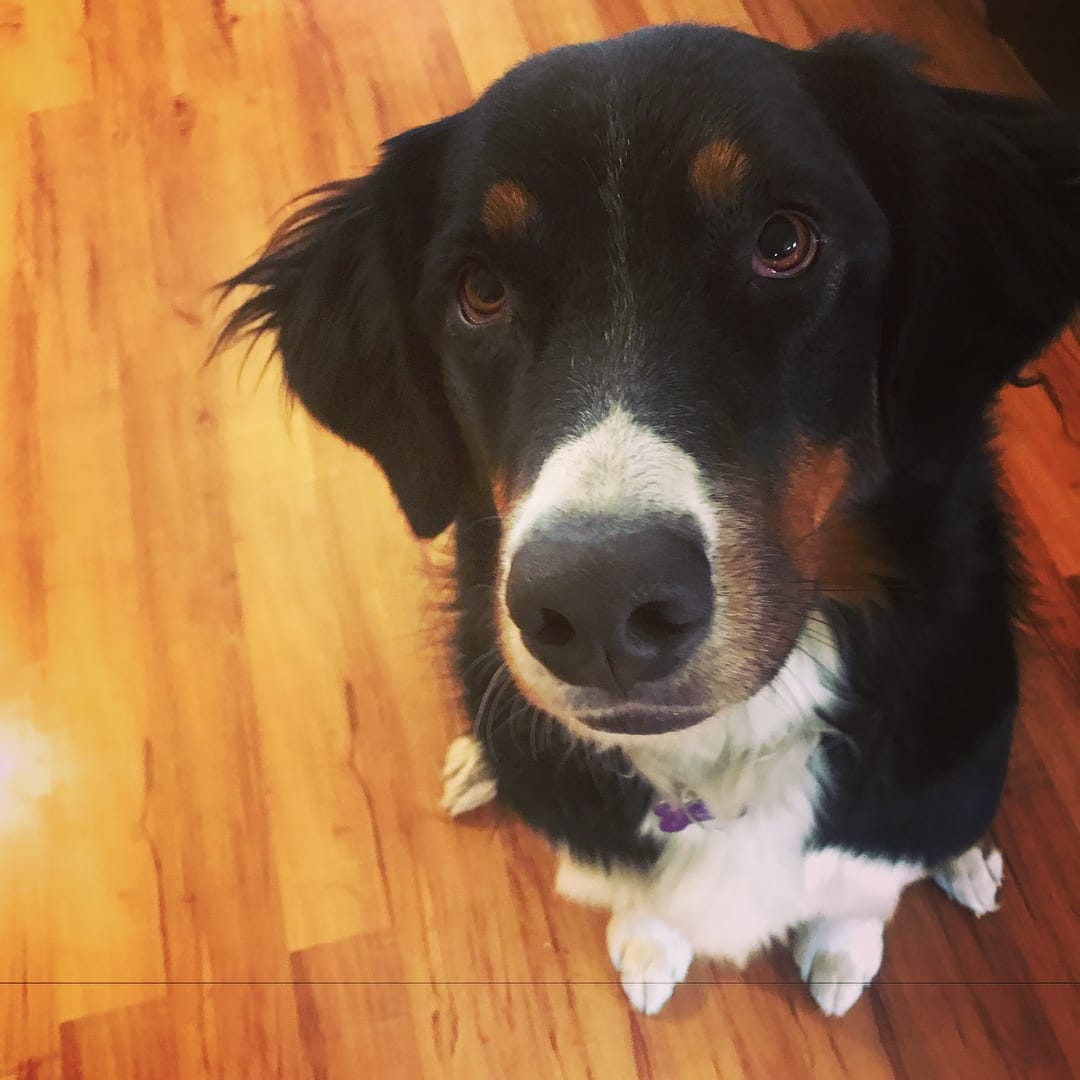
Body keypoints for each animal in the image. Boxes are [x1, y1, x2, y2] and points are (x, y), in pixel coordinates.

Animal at [216, 25, 1080, 1016]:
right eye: (480, 292)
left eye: (784, 243)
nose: (598, 605)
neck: (728, 755)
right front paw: (648, 943)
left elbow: (863, 886)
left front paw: (843, 947)